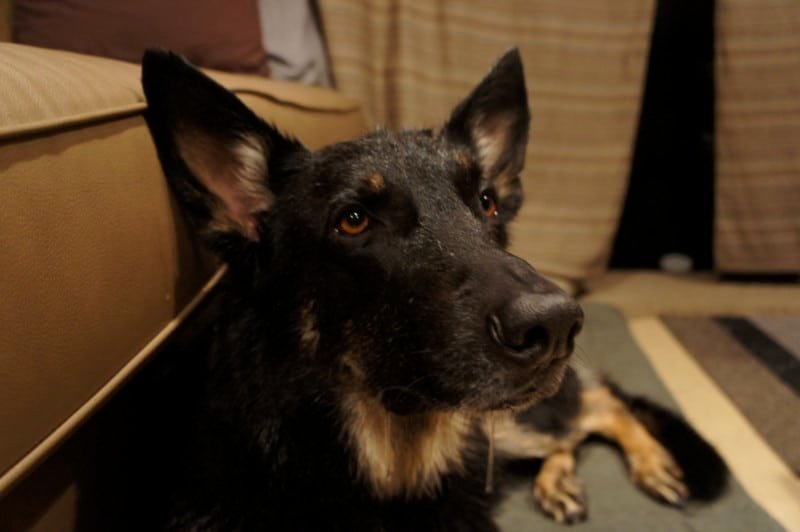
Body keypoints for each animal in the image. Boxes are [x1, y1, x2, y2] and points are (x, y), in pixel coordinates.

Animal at [141, 47, 728, 528]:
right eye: (353, 221)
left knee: (598, 403)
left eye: (487, 203)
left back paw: (651, 464)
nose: (558, 325)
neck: (393, 469)